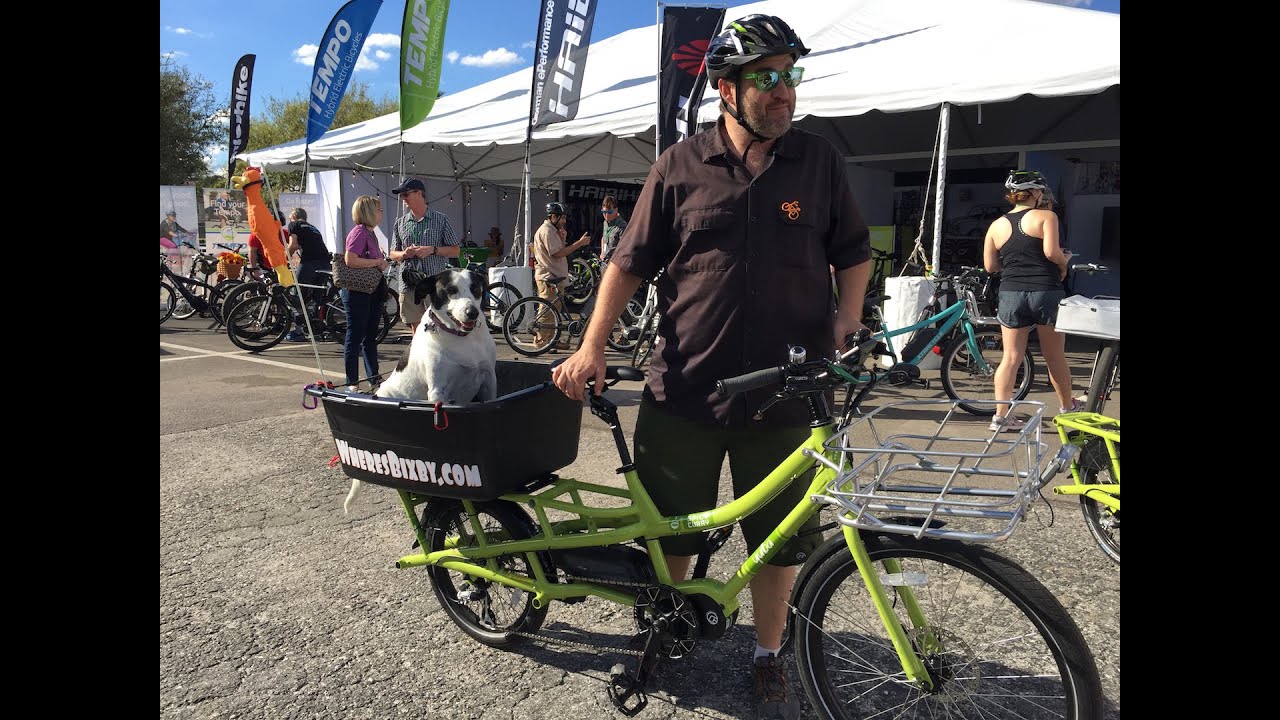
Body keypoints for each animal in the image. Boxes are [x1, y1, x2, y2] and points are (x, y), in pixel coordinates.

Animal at [343, 267, 496, 509]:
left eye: (476, 289)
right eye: (450, 290)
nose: (472, 312)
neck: (462, 339)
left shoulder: (489, 380)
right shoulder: (438, 393)